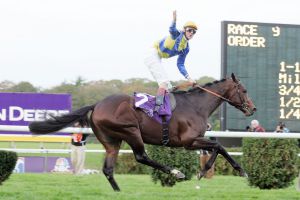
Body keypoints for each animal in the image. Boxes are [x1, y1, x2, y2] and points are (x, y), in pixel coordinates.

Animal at [29, 73, 255, 191]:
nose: (252, 109)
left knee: (108, 169)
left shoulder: (194, 140)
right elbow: (218, 146)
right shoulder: (189, 141)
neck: (196, 105)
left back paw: (119, 192)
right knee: (141, 156)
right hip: (131, 131)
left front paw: (238, 170)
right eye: (244, 90)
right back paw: (175, 172)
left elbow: (219, 147)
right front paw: (204, 171)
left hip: (112, 141)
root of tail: (97, 105)